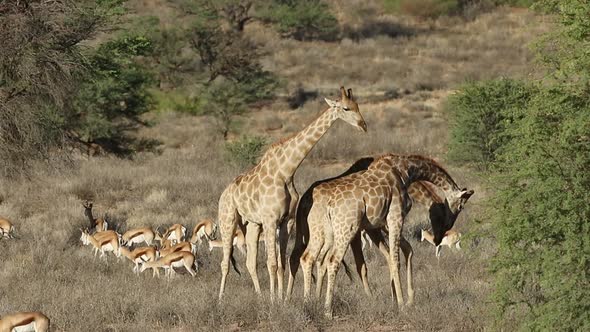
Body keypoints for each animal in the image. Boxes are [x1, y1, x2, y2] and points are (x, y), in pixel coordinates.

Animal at [216, 87, 366, 302]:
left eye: (357, 106)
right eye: (346, 108)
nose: (363, 125)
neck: (286, 171)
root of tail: (224, 193)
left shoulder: (287, 220)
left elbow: (282, 264)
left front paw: (279, 298)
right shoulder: (271, 220)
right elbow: (271, 263)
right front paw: (273, 300)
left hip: (252, 224)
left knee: (250, 262)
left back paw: (259, 296)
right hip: (227, 219)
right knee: (225, 262)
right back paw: (220, 299)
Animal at [298, 154, 474, 318]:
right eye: (460, 206)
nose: (442, 235)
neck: (406, 171)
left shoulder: (381, 223)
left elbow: (405, 251)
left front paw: (404, 299)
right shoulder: (395, 216)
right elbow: (395, 259)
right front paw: (401, 304)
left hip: (324, 232)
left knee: (310, 258)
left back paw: (309, 303)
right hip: (346, 228)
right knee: (332, 260)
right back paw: (327, 311)